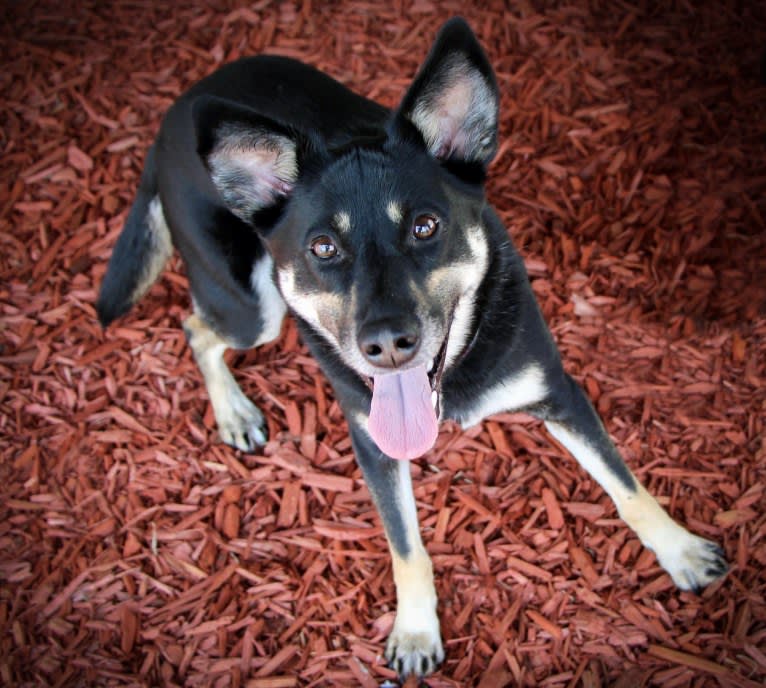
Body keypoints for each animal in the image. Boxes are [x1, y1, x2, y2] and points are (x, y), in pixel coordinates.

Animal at [99, 16, 728, 676]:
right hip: (253, 308)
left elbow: (627, 488)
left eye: (425, 226)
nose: (388, 345)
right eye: (323, 247)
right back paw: (234, 412)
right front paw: (417, 631)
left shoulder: (558, 393)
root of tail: (174, 114)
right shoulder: (374, 445)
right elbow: (406, 548)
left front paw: (681, 551)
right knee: (196, 329)